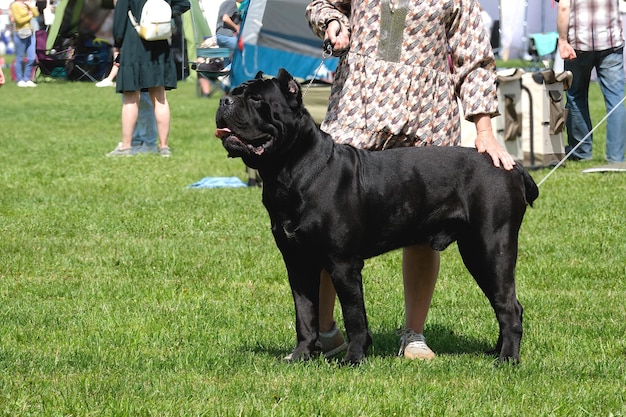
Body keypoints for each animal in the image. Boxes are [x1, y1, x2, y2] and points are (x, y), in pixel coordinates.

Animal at [214, 69, 536, 364]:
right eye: (235, 91)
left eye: (256, 99)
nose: (224, 100)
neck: (290, 169)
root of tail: (513, 167)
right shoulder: (298, 262)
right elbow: (304, 314)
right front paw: (301, 355)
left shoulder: (343, 264)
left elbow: (354, 315)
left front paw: (354, 358)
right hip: (476, 251)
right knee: (506, 304)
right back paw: (496, 351)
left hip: (490, 248)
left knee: (508, 306)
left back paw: (507, 359)